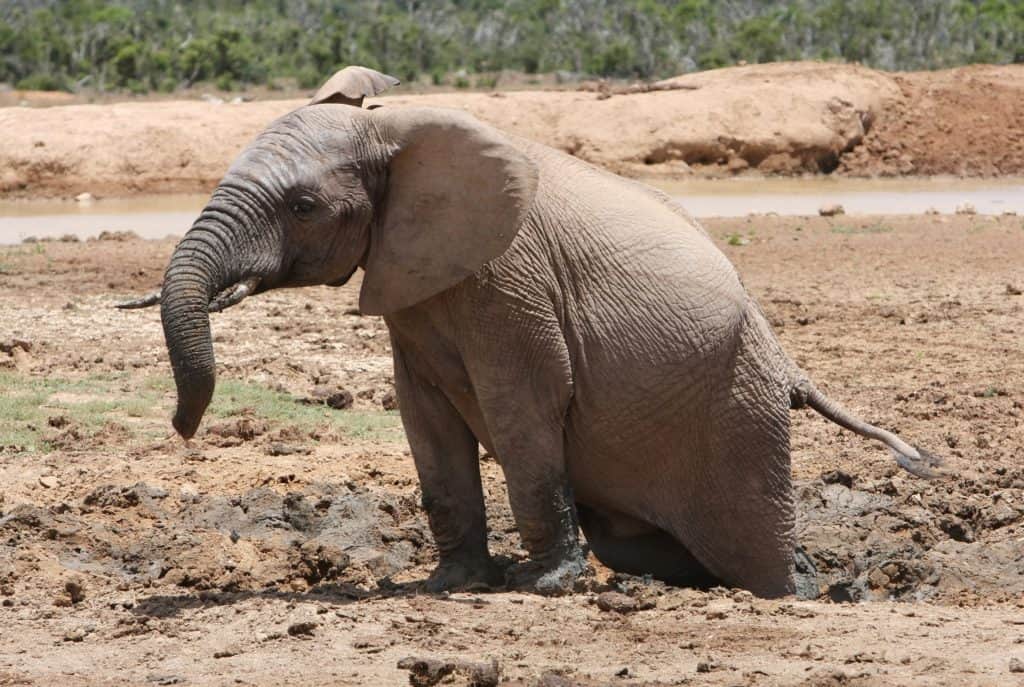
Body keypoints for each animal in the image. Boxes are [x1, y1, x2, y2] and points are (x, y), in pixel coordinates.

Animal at [119, 66, 941, 598]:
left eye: (302, 207)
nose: (181, 428)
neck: (397, 130)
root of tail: (786, 361)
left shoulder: (511, 281)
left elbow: (522, 407)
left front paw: (541, 584)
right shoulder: (414, 281)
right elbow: (426, 421)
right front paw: (449, 582)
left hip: (738, 410)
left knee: (752, 547)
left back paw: (796, 591)